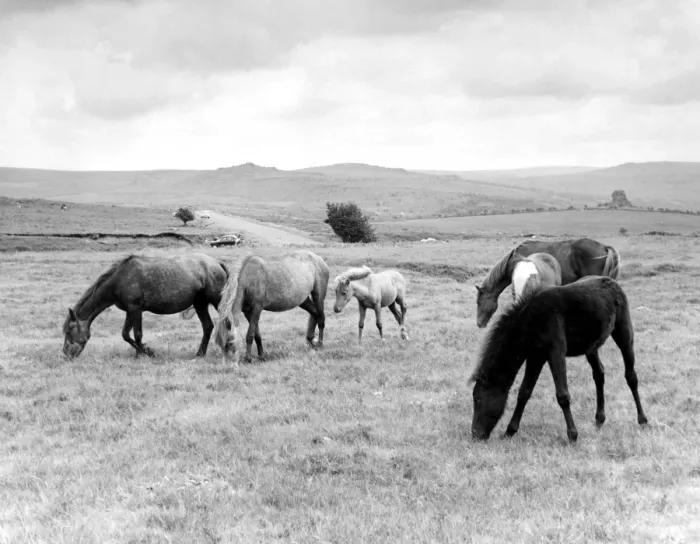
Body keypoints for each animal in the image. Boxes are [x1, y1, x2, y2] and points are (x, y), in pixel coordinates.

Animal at [62, 253, 229, 359]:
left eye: (69, 332)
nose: (65, 355)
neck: (119, 280)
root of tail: (217, 263)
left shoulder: (136, 309)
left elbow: (137, 334)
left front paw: (146, 353)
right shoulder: (129, 311)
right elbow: (126, 334)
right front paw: (140, 352)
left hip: (216, 301)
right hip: (200, 303)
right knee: (207, 326)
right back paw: (200, 354)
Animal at [468, 276, 648, 443]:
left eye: (478, 399)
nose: (476, 434)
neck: (532, 319)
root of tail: (611, 281)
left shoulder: (555, 353)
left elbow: (562, 395)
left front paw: (573, 435)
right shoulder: (536, 356)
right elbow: (524, 393)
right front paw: (509, 431)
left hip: (624, 333)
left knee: (631, 376)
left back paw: (642, 420)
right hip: (591, 346)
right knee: (599, 374)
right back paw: (599, 419)